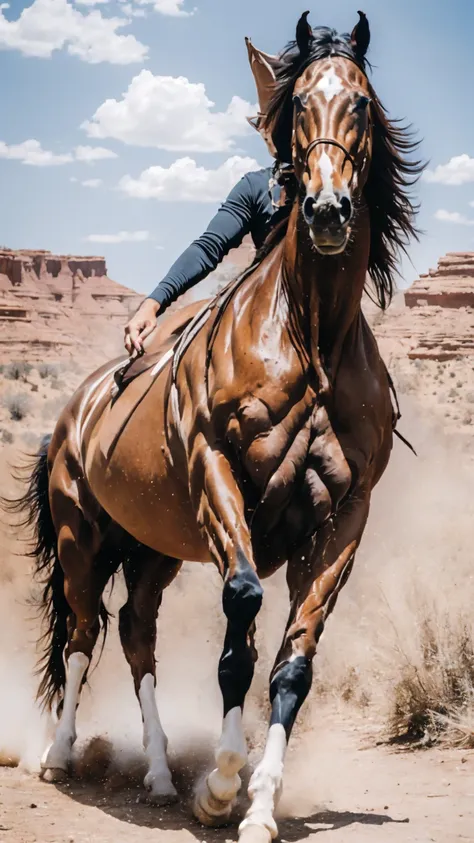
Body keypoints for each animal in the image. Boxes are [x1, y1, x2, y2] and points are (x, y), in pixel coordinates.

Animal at [12, 13, 422, 843]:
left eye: (361, 103)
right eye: (298, 103)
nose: (327, 212)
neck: (312, 340)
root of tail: (70, 416)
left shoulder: (344, 517)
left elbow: (292, 660)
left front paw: (258, 802)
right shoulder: (218, 477)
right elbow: (238, 623)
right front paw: (223, 781)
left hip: (151, 549)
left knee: (135, 633)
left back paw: (161, 773)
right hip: (81, 537)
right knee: (81, 632)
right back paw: (60, 755)